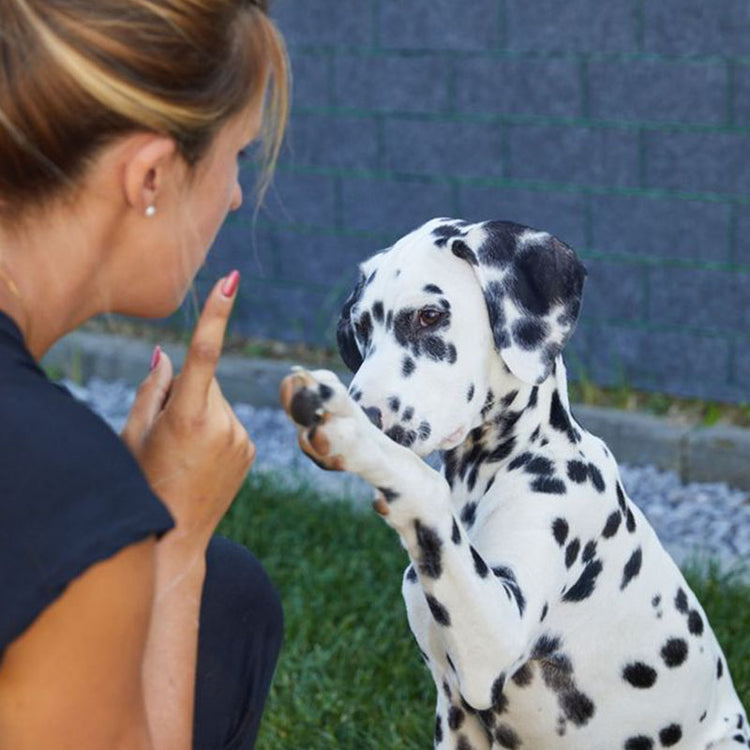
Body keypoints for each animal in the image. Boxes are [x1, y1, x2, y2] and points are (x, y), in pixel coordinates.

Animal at [280, 217, 748, 750]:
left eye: (429, 316)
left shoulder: (500, 630)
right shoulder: (455, 709)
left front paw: (349, 428)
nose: (369, 412)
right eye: (361, 328)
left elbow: (422, 483)